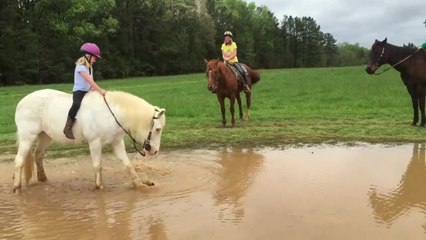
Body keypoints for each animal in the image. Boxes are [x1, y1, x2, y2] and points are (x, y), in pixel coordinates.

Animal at [13, 89, 166, 192]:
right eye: (158, 129)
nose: (155, 151)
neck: (112, 114)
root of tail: (21, 102)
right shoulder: (95, 142)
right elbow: (98, 165)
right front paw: (99, 186)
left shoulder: (116, 143)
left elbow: (128, 164)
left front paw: (139, 184)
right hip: (27, 138)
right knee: (19, 161)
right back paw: (17, 188)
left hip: (45, 136)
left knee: (38, 155)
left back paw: (42, 178)